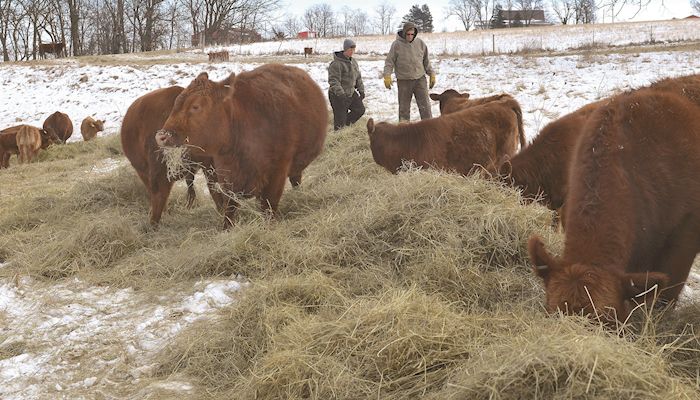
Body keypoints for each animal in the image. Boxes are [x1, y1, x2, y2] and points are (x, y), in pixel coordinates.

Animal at [156, 64, 328, 230]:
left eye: (196, 106)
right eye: (176, 103)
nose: (162, 136)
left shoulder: (278, 172)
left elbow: (269, 205)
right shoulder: (226, 176)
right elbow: (229, 207)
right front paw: (226, 229)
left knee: (295, 179)